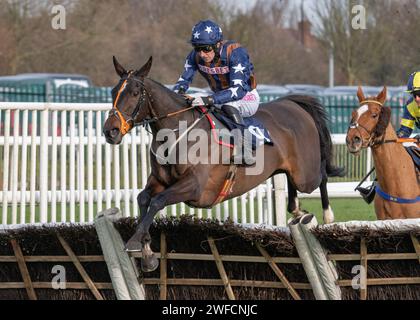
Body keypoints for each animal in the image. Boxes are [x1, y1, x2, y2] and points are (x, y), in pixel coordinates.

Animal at [102, 56, 344, 272]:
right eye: (114, 92)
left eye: (135, 93)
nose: (110, 131)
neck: (177, 132)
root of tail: (292, 104)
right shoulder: (159, 180)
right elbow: (143, 199)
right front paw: (147, 253)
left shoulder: (195, 187)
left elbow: (157, 201)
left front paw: (135, 242)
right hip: (292, 170)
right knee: (291, 183)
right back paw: (296, 210)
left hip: (306, 175)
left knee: (321, 176)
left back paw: (328, 215)